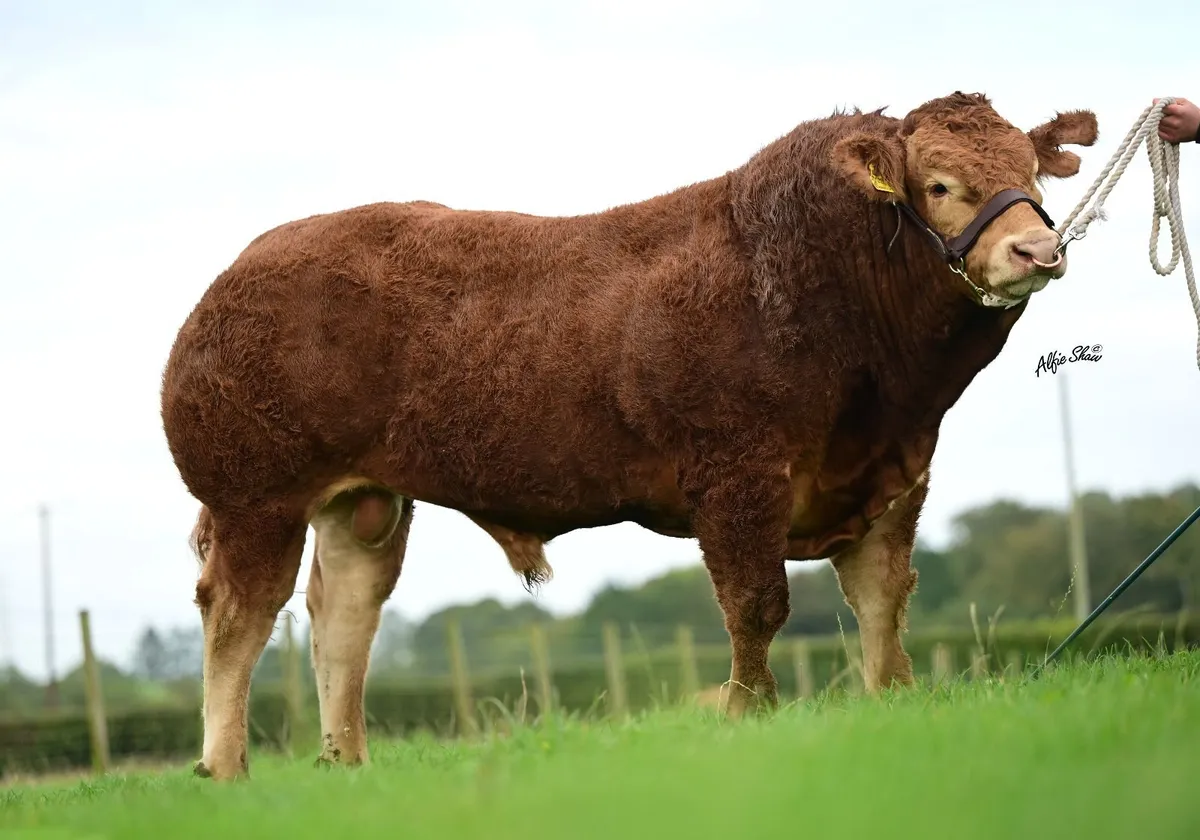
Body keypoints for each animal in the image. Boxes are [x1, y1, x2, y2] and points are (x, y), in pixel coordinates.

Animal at [160, 91, 1098, 780]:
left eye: (1033, 173)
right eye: (937, 183)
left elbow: (883, 603)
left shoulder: (894, 477)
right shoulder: (737, 477)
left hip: (364, 501)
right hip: (254, 496)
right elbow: (756, 606)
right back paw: (225, 768)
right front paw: (748, 716)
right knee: (238, 617)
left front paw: (890, 703)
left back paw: (346, 761)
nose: (1039, 248)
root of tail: (239, 270)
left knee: (343, 615)